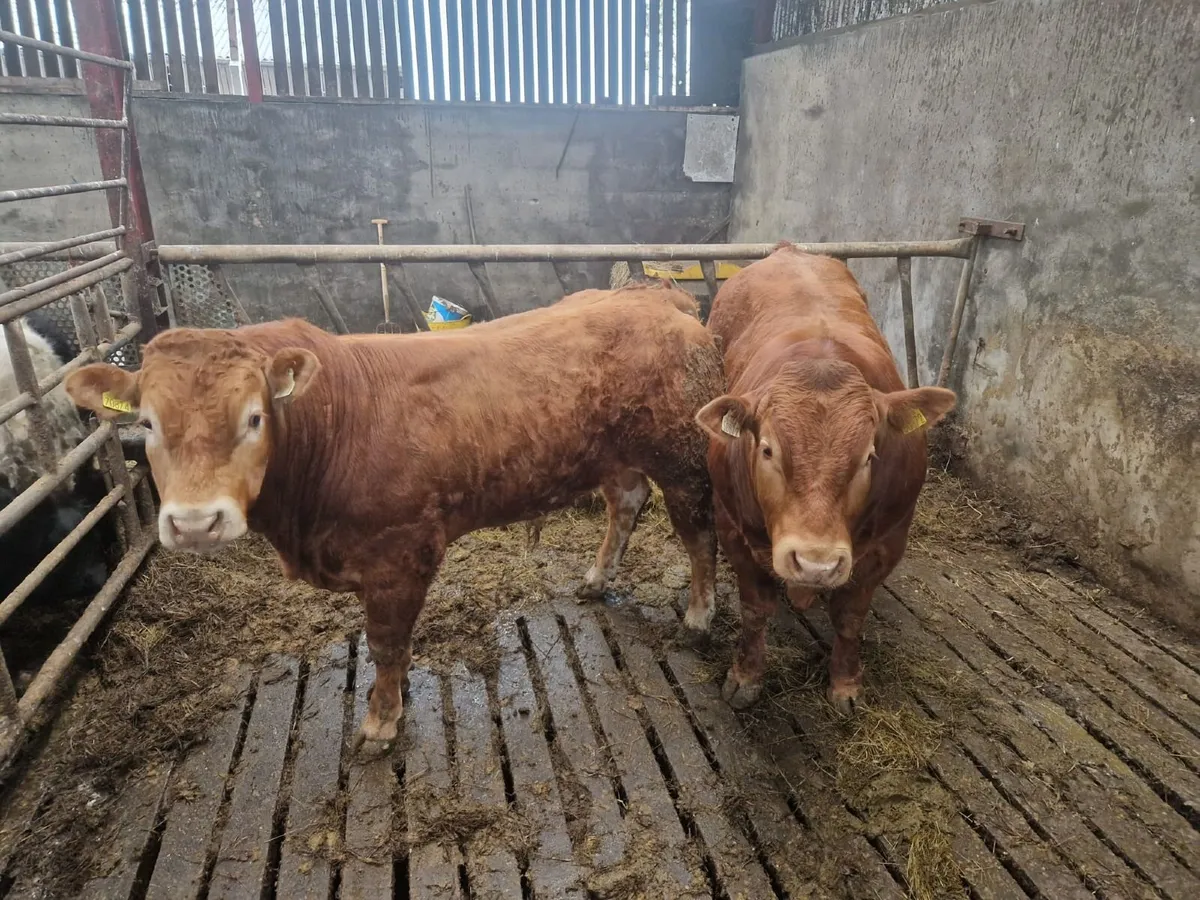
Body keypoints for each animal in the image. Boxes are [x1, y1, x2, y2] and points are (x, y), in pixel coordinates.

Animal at [65, 282, 723, 747]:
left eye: (254, 417)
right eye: (147, 423)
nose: (196, 522)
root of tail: (657, 297)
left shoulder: (401, 552)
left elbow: (385, 643)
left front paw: (381, 721)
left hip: (683, 457)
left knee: (697, 534)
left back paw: (697, 615)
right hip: (619, 454)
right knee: (626, 502)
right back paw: (596, 578)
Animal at [694, 244, 956, 714]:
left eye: (869, 456)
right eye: (767, 450)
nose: (816, 563)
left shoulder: (888, 542)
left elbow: (850, 618)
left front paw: (846, 683)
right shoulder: (733, 528)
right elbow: (755, 610)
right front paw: (745, 677)